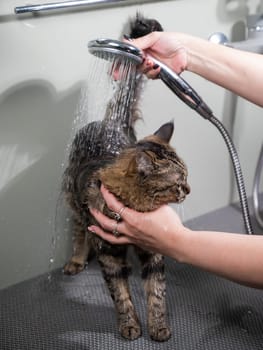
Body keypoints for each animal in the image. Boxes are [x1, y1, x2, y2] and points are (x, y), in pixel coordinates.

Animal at [63, 13, 191, 342]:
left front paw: (158, 327)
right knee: (79, 232)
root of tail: (111, 123)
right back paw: (76, 259)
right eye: (179, 181)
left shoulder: (154, 251)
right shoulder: (109, 257)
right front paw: (130, 325)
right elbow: (120, 295)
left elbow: (156, 293)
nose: (189, 190)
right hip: (73, 201)